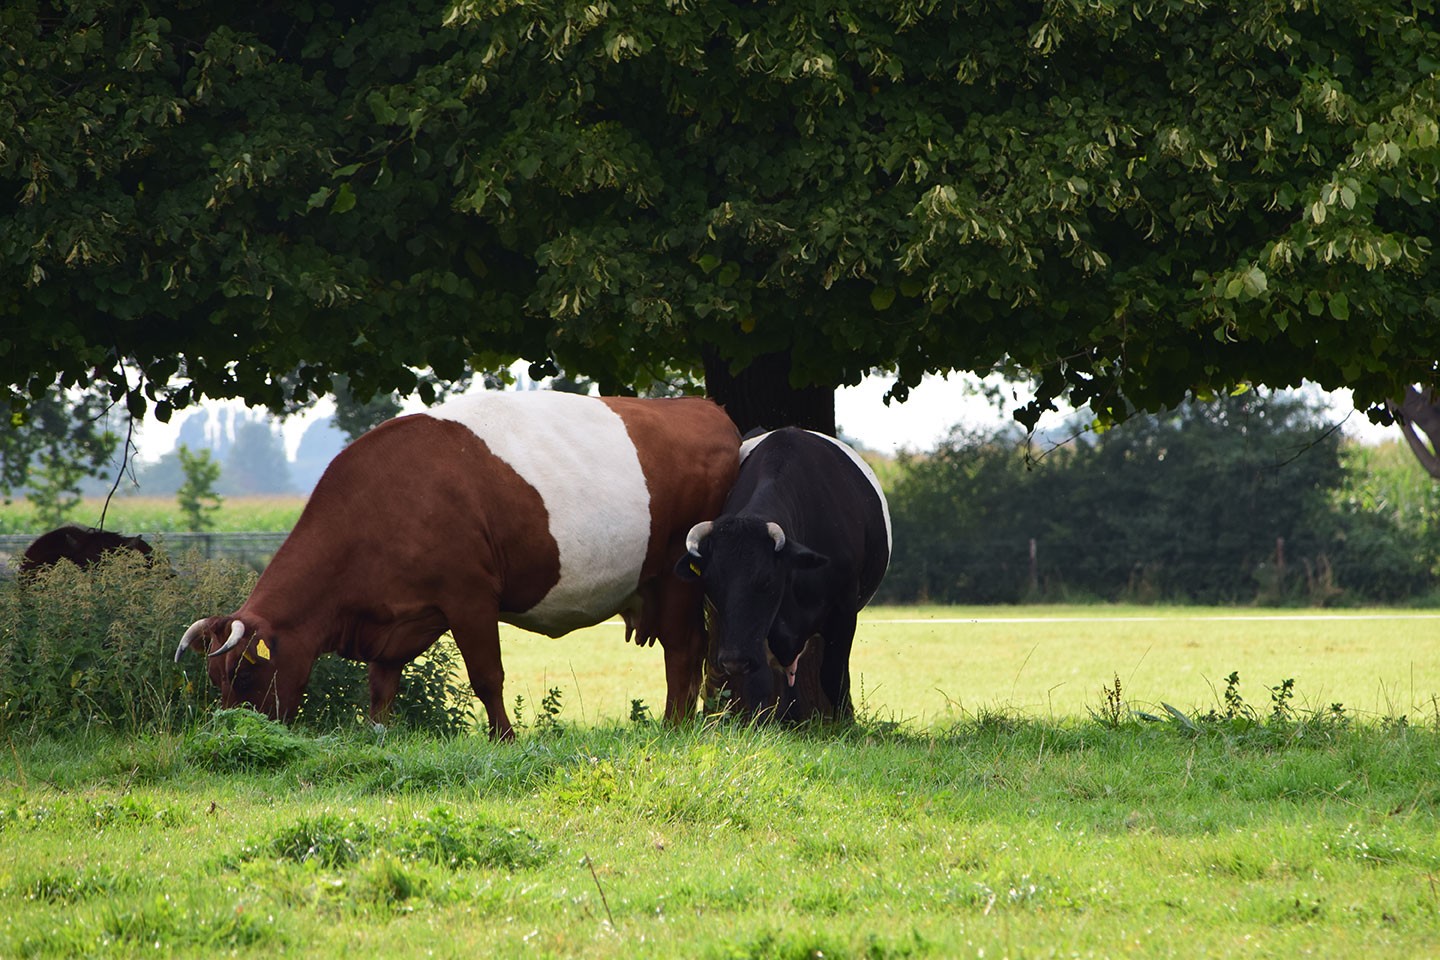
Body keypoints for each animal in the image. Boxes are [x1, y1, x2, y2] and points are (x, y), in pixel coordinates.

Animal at [177, 394, 743, 742]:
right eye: (214, 679)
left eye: (245, 675)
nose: (235, 734)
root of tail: (706, 409)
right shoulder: (396, 618)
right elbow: (381, 684)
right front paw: (378, 733)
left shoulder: (470, 596)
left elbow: (487, 676)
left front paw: (505, 738)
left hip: (676, 577)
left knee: (685, 651)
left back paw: (673, 728)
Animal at [673, 428, 887, 719]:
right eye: (711, 583)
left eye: (766, 580)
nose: (733, 659)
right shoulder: (757, 636)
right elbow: (759, 682)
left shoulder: (844, 611)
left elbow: (835, 677)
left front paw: (845, 724)